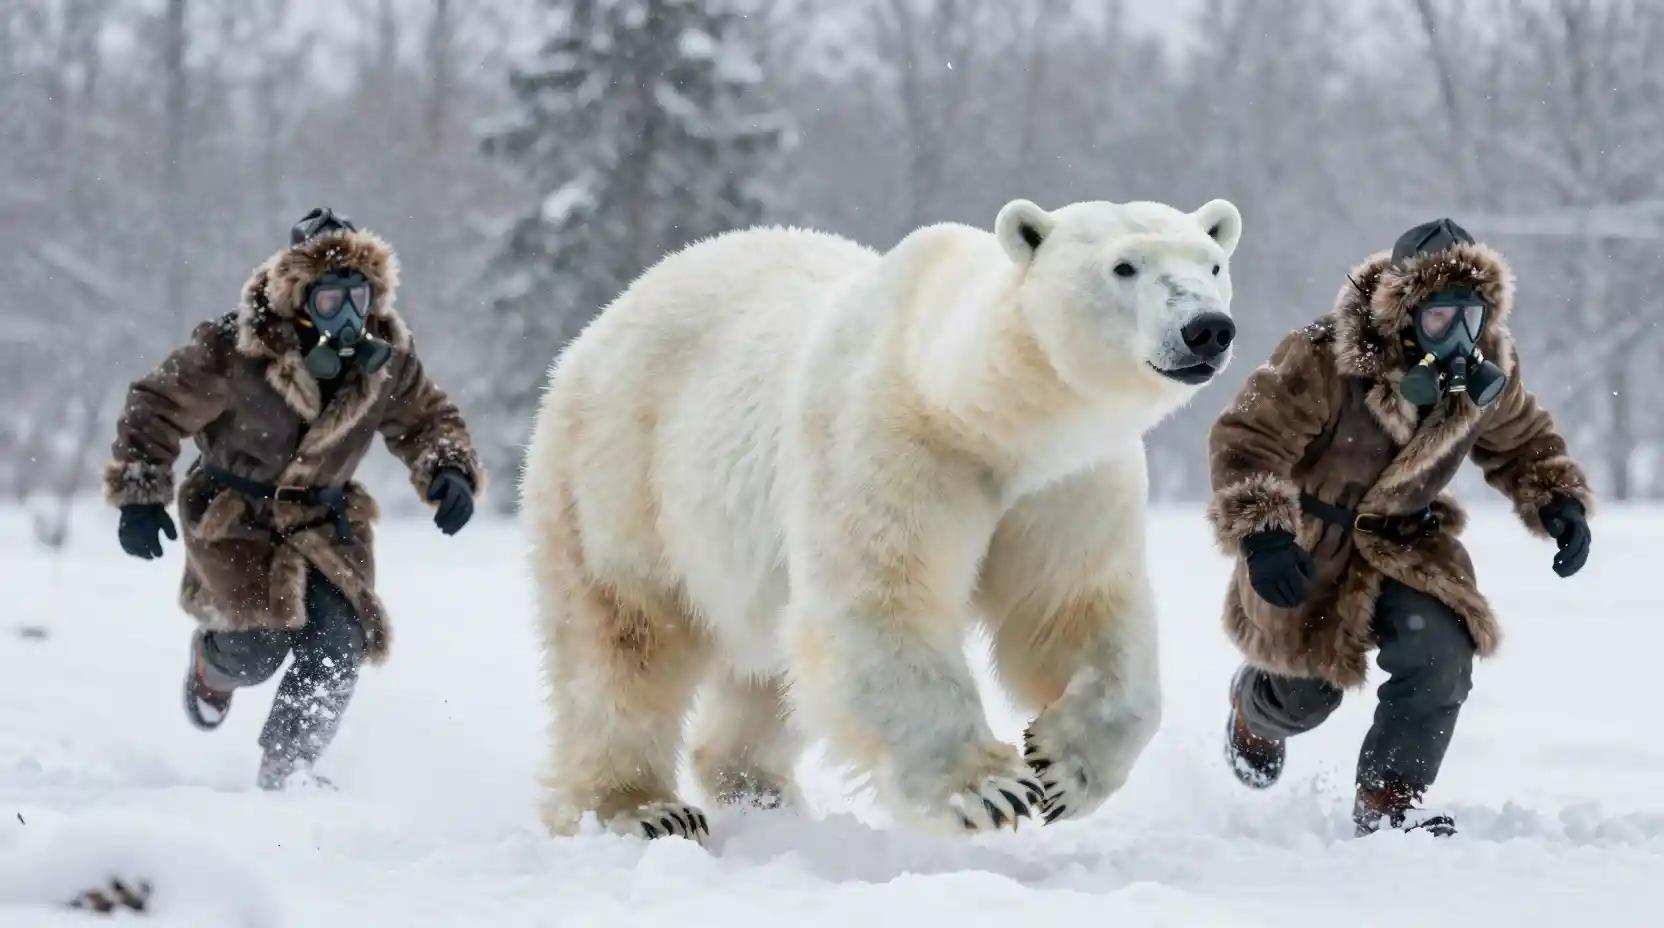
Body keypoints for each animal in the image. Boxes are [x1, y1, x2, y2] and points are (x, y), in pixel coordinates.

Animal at [521, 195, 1244, 842]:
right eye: (1125, 266)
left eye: (1211, 263)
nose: (1207, 328)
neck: (974, 408)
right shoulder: (890, 440)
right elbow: (880, 602)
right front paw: (987, 788)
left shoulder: (1066, 480)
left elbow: (1074, 606)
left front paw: (1064, 768)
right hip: (619, 474)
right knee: (621, 644)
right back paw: (642, 810)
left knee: (770, 671)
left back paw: (764, 794)